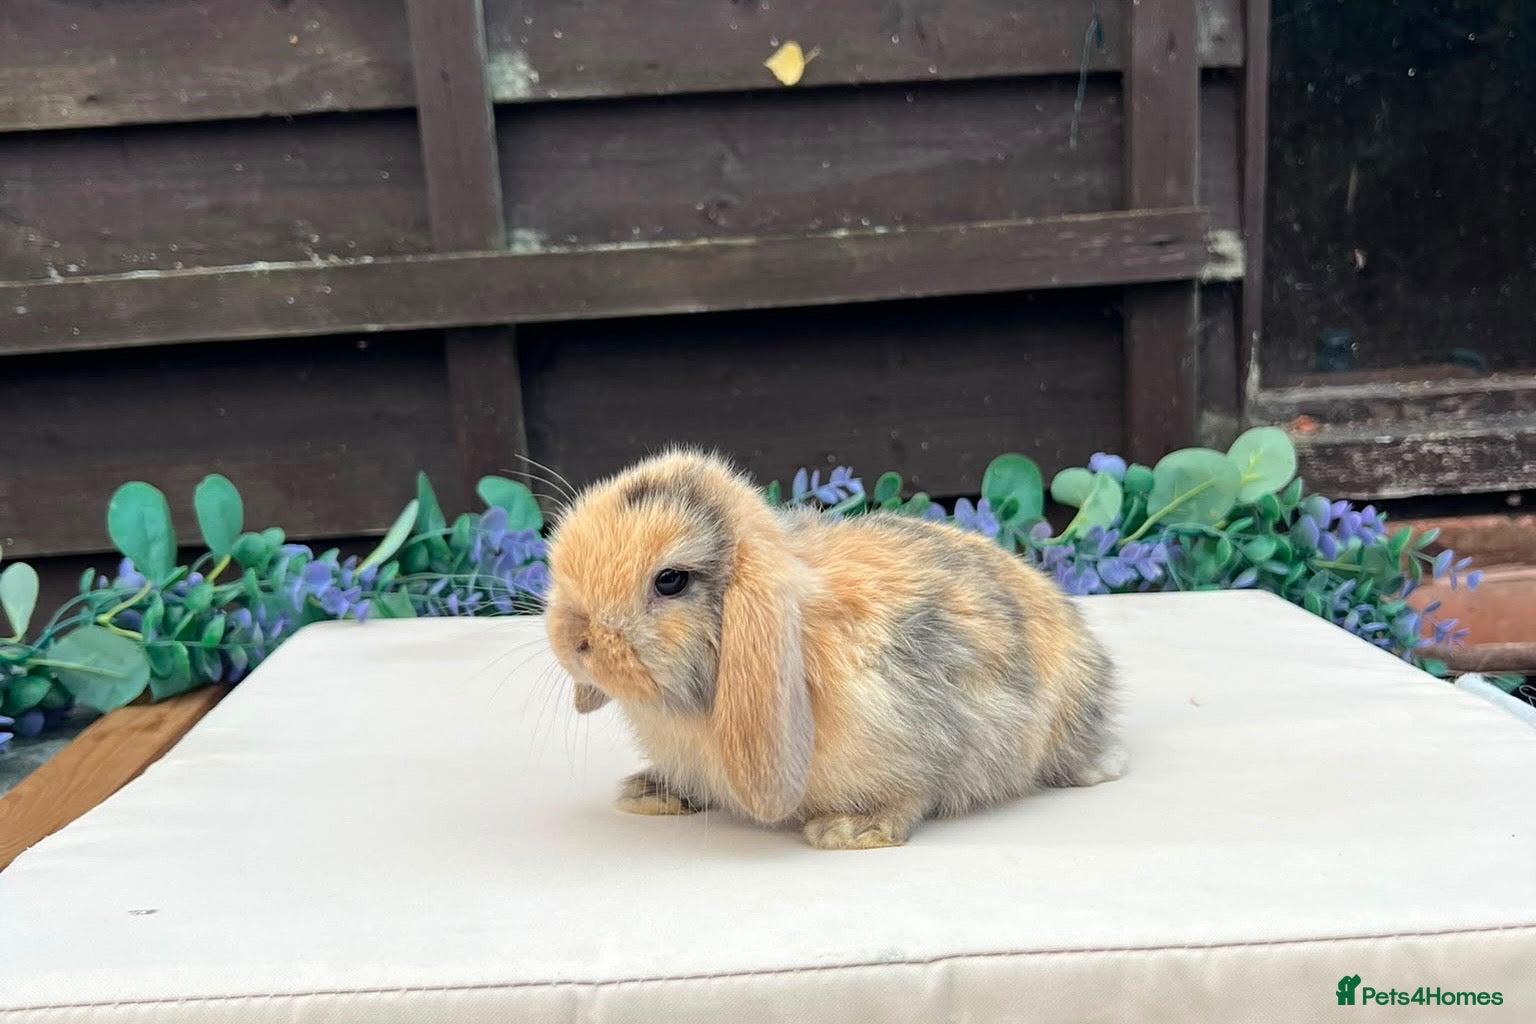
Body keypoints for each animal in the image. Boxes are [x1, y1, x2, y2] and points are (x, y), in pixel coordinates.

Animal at [543, 448, 1126, 850]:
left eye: (670, 581)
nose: (574, 640)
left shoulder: (915, 730)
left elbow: (912, 795)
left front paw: (852, 831)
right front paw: (648, 793)